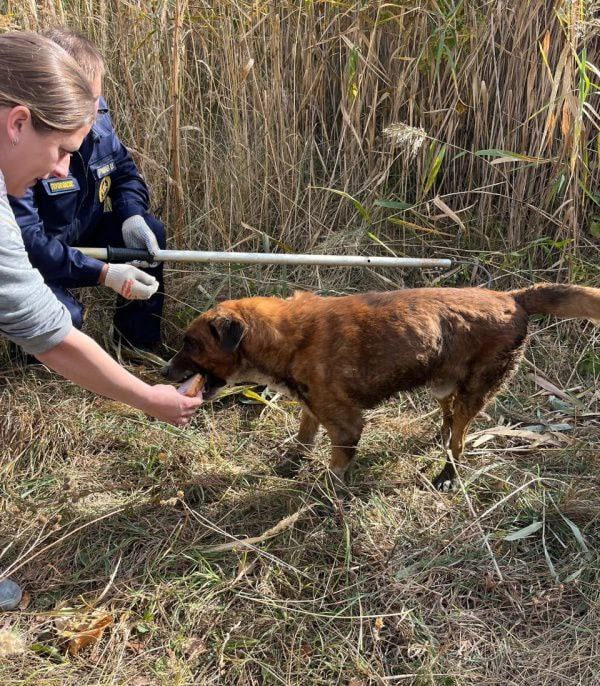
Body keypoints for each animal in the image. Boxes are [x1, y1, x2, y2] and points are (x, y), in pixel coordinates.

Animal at [164, 284, 600, 490]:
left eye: (191, 344)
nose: (165, 371)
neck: (287, 336)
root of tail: (513, 298)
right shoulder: (311, 408)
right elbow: (303, 439)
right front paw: (290, 465)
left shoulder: (346, 426)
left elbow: (336, 465)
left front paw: (324, 495)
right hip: (444, 386)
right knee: (448, 422)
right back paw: (438, 438)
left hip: (474, 391)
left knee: (459, 441)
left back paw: (447, 474)